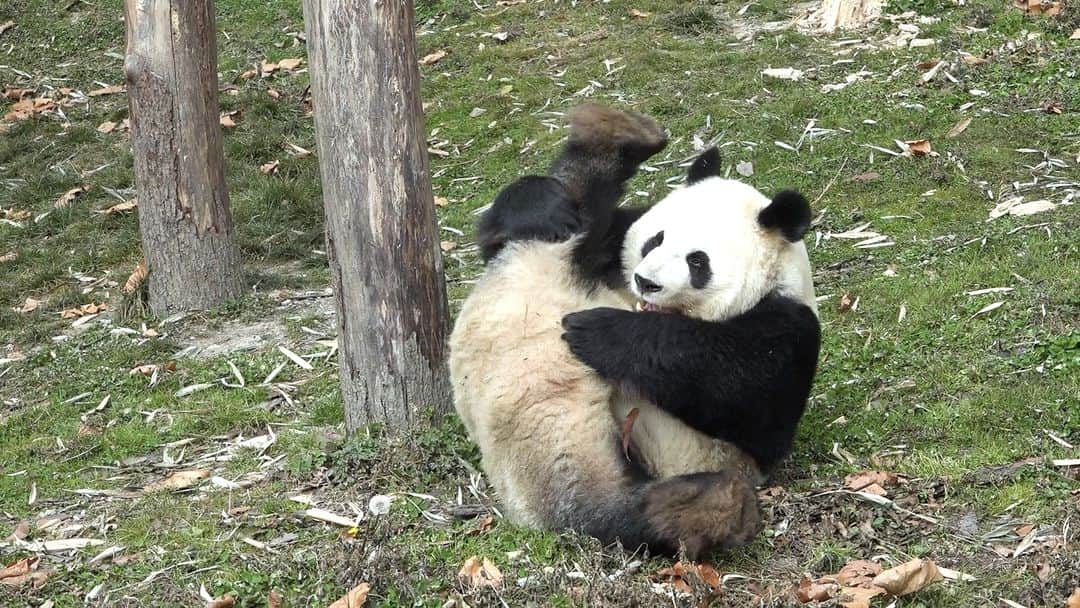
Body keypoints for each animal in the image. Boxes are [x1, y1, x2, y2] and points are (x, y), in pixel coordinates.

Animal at [561, 146, 821, 487]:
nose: (645, 282)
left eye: (697, 261)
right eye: (655, 240)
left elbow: (735, 385)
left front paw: (597, 331)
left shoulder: (787, 326)